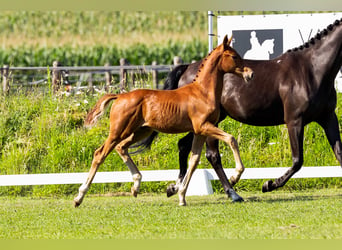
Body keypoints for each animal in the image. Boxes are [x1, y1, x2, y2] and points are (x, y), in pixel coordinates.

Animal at [73, 35, 252, 207]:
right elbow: (231, 139)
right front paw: (236, 175)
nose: (250, 74)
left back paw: (136, 185)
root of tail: (120, 96)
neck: (202, 92)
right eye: (234, 56)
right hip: (119, 130)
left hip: (140, 131)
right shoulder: (204, 126)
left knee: (121, 147)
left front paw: (181, 196)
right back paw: (79, 197)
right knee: (100, 154)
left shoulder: (199, 131)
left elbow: (194, 161)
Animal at [136, 18, 342, 198]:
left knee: (184, 145)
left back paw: (175, 187)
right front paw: (268, 185)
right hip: (208, 123)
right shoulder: (294, 120)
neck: (312, 70)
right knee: (212, 155)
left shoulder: (328, 118)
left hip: (204, 123)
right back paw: (231, 190)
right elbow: (298, 161)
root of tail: (187, 69)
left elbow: (339, 154)